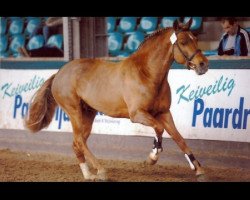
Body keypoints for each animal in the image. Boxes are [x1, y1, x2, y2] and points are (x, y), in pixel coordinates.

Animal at [24, 18, 209, 181]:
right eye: (183, 42)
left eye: (195, 39)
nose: (203, 65)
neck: (147, 74)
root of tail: (59, 73)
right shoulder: (138, 115)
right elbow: (159, 129)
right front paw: (152, 158)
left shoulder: (164, 113)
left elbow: (179, 138)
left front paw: (198, 169)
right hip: (74, 111)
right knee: (79, 141)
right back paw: (101, 170)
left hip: (88, 114)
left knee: (77, 143)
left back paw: (89, 175)